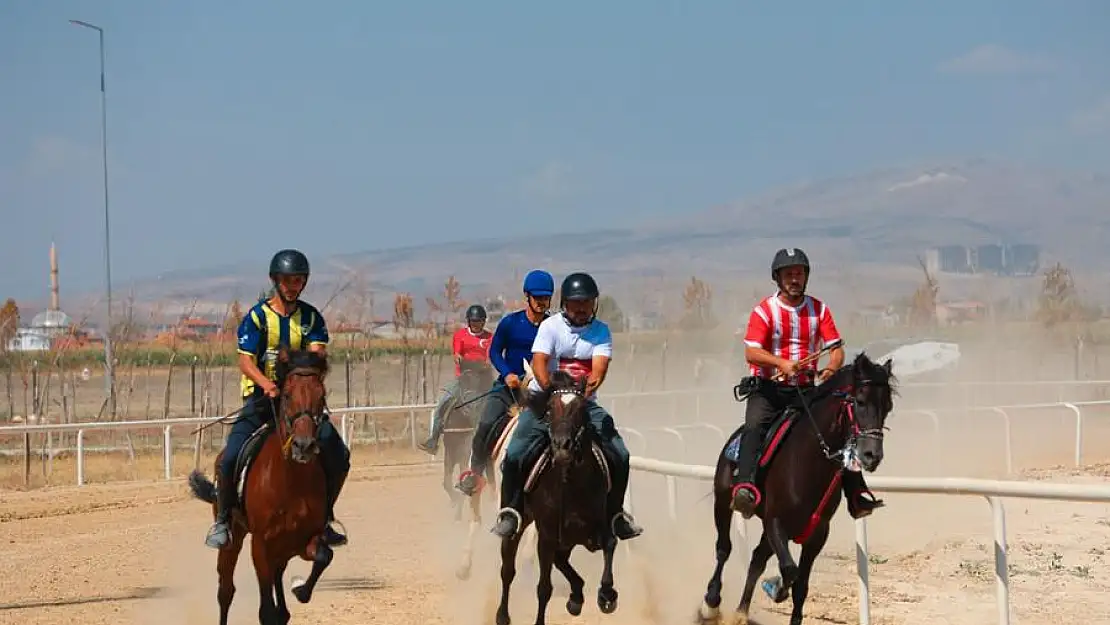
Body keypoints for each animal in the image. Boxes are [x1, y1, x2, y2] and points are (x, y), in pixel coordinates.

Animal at [190, 350, 333, 621]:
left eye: (322, 396)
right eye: (287, 395)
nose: (304, 445)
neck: (291, 481)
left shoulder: (302, 538)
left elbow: (324, 555)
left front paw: (300, 588)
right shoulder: (261, 545)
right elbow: (266, 610)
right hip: (234, 537)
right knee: (225, 591)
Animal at [495, 370, 617, 625]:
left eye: (582, 408)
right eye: (550, 408)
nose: (562, 447)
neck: (569, 483)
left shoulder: (598, 525)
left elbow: (611, 543)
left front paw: (606, 595)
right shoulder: (547, 537)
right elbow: (544, 588)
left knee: (562, 562)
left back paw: (576, 597)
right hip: (518, 525)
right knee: (508, 569)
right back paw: (502, 616)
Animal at [697, 353, 896, 625]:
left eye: (888, 406)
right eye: (860, 401)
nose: (871, 455)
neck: (809, 463)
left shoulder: (817, 533)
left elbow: (800, 584)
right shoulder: (775, 522)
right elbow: (790, 571)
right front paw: (774, 587)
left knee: (757, 558)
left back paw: (741, 612)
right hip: (723, 501)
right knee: (724, 548)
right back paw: (711, 603)